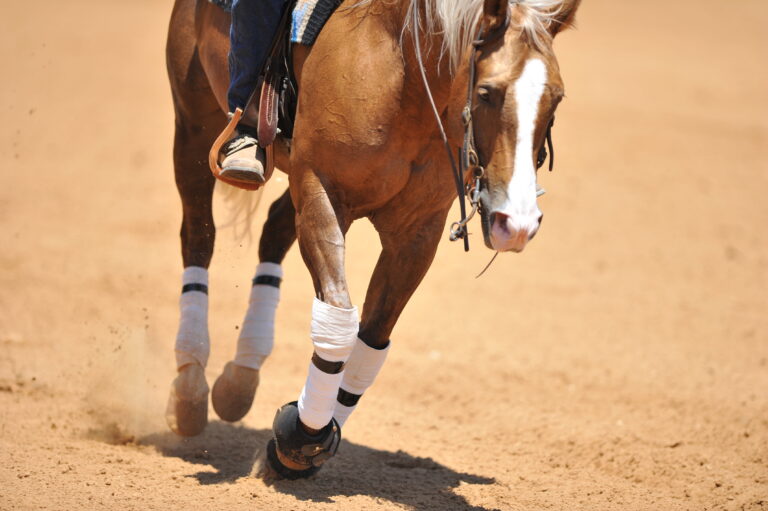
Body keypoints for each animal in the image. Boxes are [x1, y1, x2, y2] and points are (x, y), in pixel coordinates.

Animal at [165, 0, 581, 478]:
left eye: (556, 97)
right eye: (486, 93)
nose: (517, 223)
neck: (401, 73)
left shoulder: (417, 232)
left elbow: (372, 340)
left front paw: (309, 440)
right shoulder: (322, 193)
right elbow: (339, 324)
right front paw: (299, 437)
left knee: (273, 231)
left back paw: (240, 379)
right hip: (193, 125)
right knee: (198, 237)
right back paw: (190, 387)